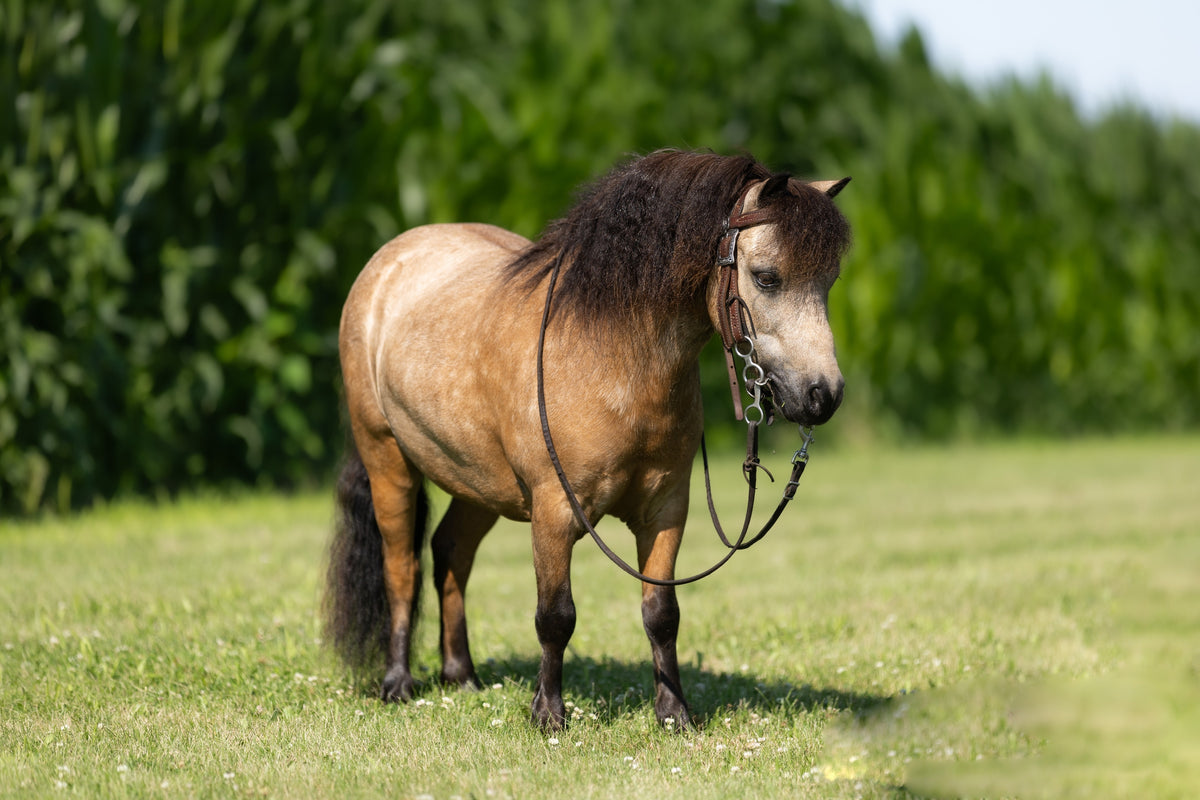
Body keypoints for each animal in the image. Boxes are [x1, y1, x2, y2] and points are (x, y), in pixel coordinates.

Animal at [326, 149, 851, 731]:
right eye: (766, 278)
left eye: (829, 281)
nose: (822, 396)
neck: (612, 354)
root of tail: (388, 262)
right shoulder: (555, 513)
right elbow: (556, 616)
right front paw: (549, 714)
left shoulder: (666, 509)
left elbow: (661, 613)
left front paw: (674, 713)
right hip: (387, 460)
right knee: (403, 566)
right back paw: (398, 682)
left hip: (479, 484)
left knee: (450, 553)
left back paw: (461, 675)